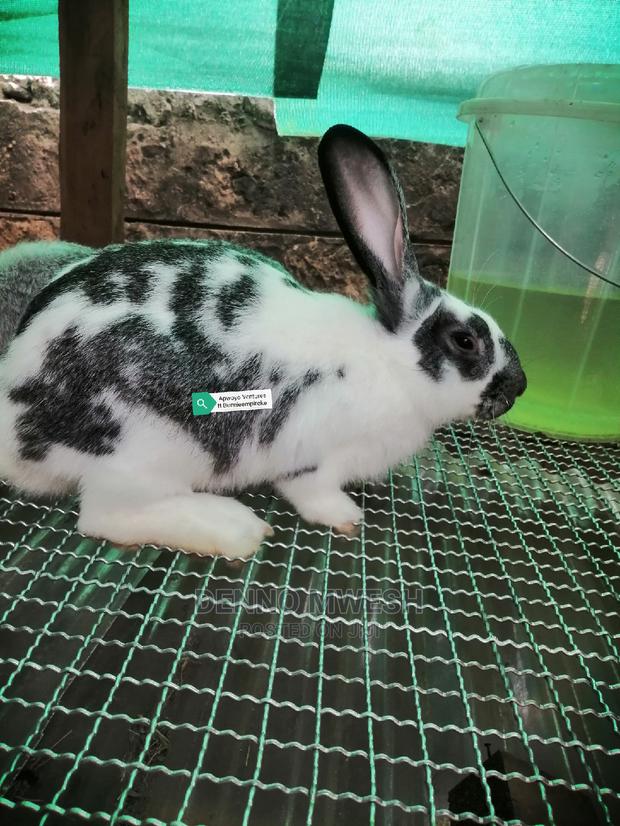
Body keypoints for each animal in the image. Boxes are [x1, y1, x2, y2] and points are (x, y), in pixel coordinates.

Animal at [0, 125, 526, 559]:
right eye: (465, 341)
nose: (519, 387)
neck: (388, 362)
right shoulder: (312, 459)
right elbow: (313, 493)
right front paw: (347, 518)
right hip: (137, 456)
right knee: (103, 518)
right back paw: (234, 528)